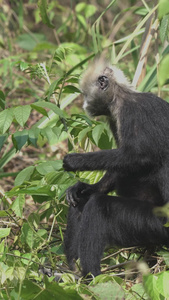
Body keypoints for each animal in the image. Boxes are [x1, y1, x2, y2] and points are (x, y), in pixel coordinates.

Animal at [62, 58, 169, 276]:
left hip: (153, 223)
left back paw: (89, 278)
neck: (121, 96)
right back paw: (71, 270)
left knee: (97, 207)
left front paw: (76, 161)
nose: (84, 104)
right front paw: (85, 187)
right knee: (83, 203)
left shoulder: (130, 111)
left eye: (85, 94)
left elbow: (140, 158)